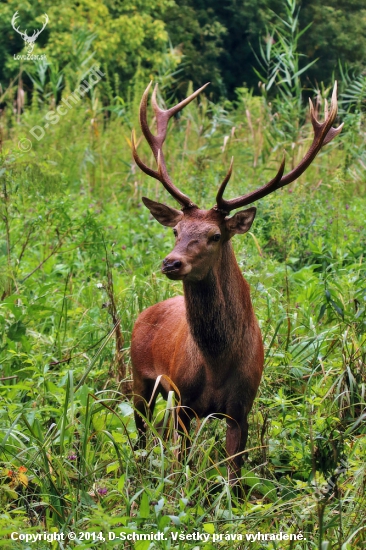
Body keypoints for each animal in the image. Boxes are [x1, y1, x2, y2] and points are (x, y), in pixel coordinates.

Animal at [130, 80, 342, 490]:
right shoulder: (182, 402)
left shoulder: (241, 409)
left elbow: (234, 480)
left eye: (214, 235)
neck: (216, 364)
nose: (171, 262)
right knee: (140, 436)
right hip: (136, 378)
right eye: (177, 230)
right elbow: (181, 470)